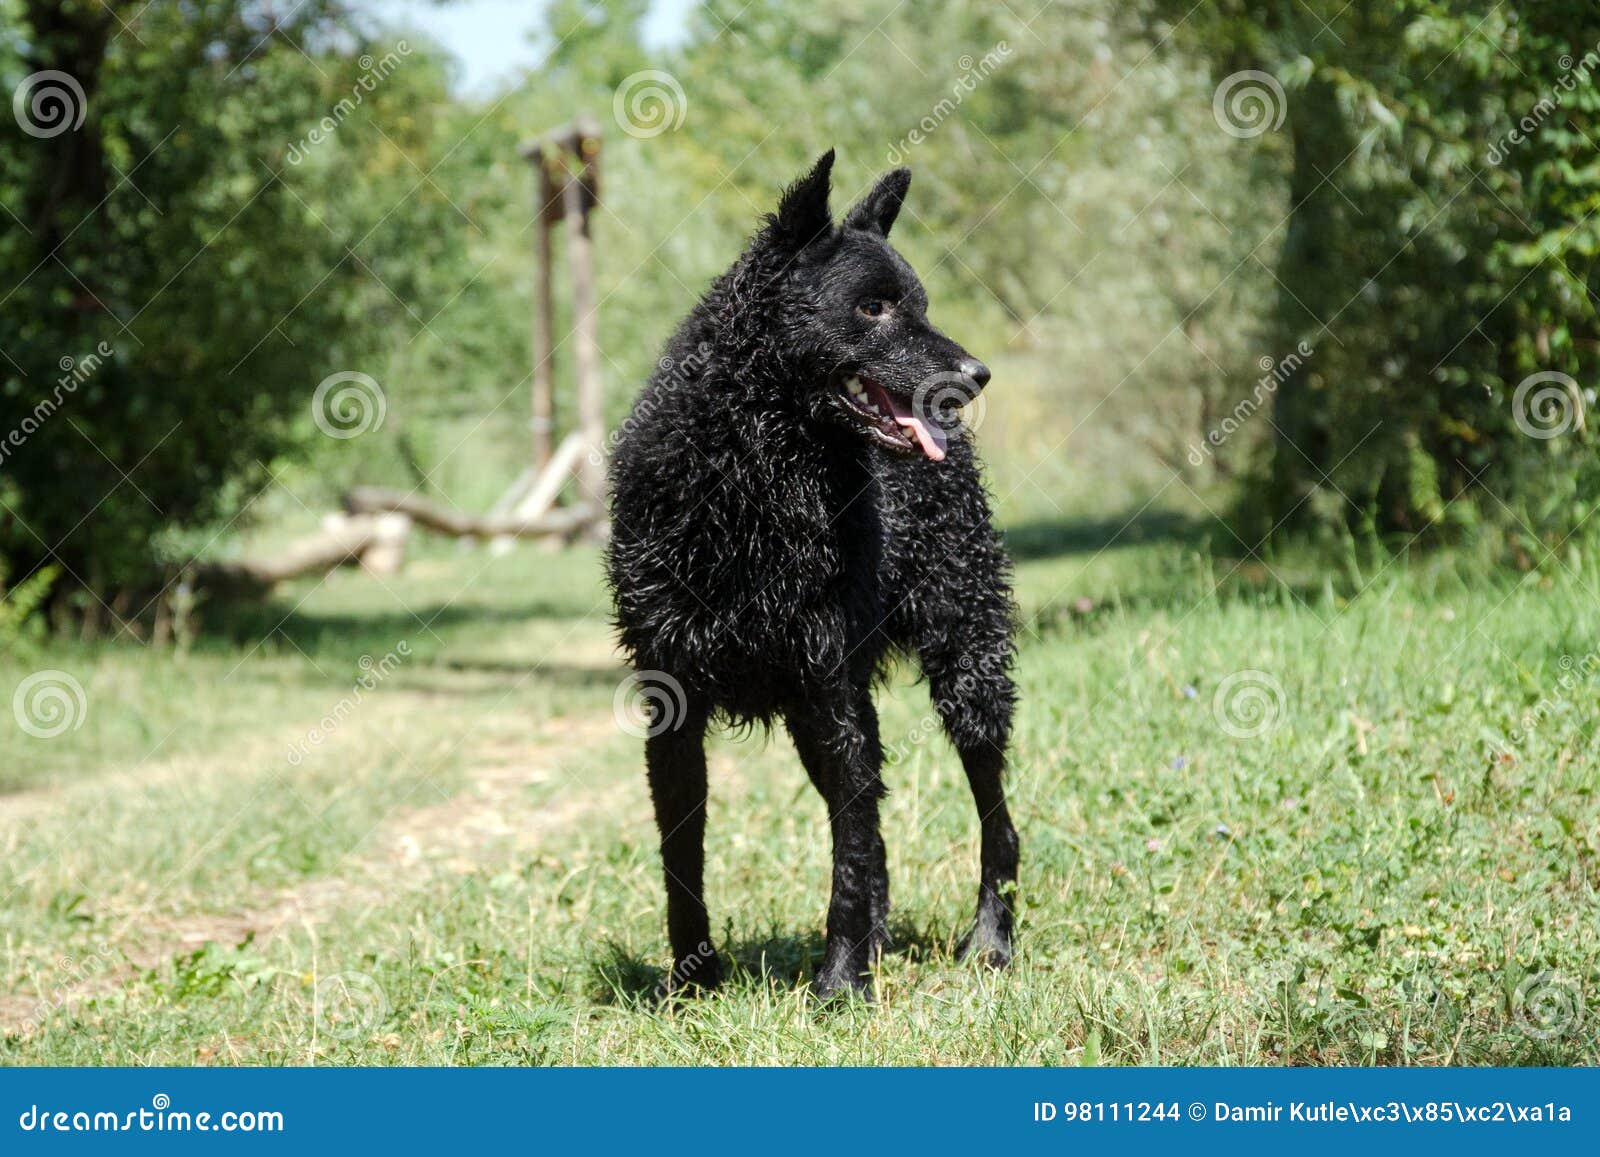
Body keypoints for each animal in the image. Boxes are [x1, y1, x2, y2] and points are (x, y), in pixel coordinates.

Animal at [604, 151, 1017, 1004]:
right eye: (873, 307)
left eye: (920, 303)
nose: (977, 373)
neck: (752, 477)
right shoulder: (675, 705)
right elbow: (683, 857)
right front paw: (693, 981)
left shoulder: (831, 690)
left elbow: (847, 855)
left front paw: (839, 983)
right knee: (877, 823)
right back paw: (883, 942)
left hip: (967, 673)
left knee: (996, 822)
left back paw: (990, 939)